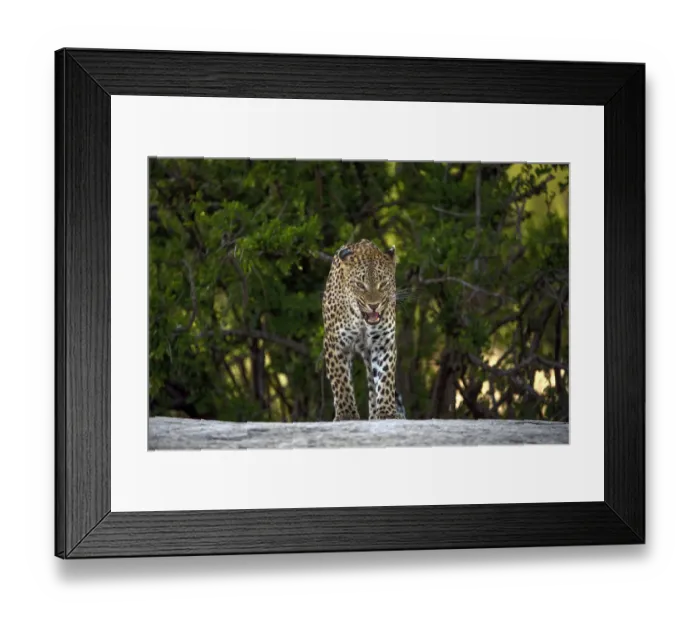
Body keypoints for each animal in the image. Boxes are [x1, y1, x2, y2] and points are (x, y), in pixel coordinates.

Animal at [322, 239, 406, 421]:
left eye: (383, 284)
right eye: (360, 285)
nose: (374, 305)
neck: (361, 320)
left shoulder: (383, 343)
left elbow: (384, 378)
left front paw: (386, 412)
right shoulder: (335, 344)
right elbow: (341, 381)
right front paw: (346, 414)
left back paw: (375, 414)